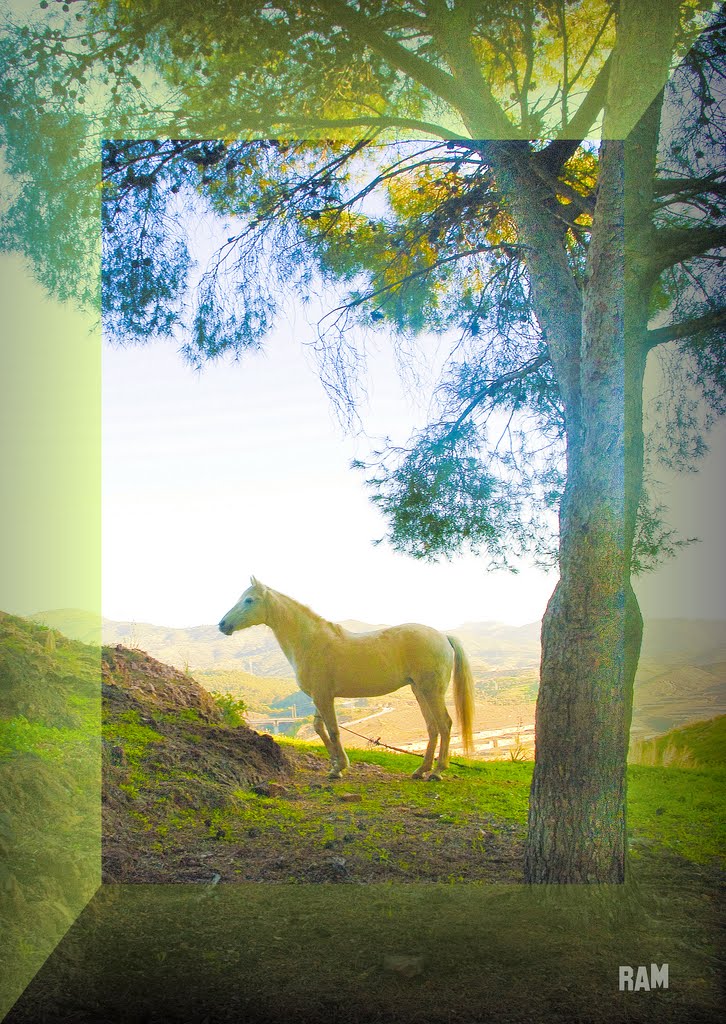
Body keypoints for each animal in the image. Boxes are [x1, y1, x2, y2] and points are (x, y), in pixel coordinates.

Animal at [217, 581, 475, 778]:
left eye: (249, 600)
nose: (222, 624)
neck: (311, 641)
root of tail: (443, 636)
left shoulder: (324, 697)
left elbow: (332, 730)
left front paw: (339, 768)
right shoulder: (319, 697)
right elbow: (319, 728)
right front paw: (335, 765)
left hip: (431, 691)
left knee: (444, 725)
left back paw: (437, 772)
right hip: (419, 690)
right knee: (432, 727)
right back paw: (421, 770)